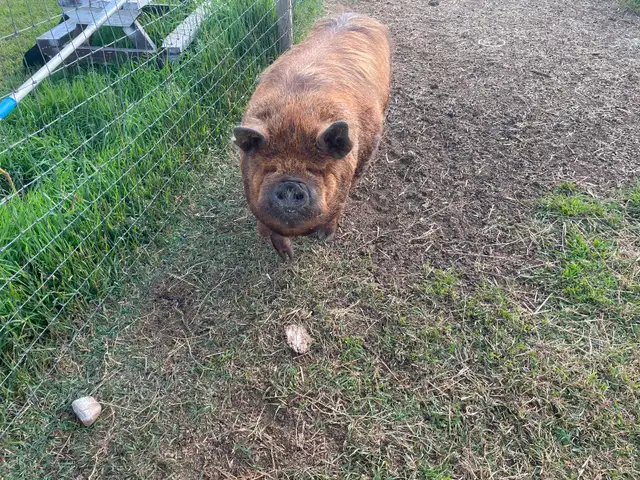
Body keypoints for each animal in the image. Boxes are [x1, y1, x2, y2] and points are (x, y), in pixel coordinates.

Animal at [234, 12, 391, 260]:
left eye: (315, 169)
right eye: (270, 168)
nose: (290, 186)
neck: (295, 117)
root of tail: (355, 14)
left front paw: (324, 238)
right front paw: (287, 257)